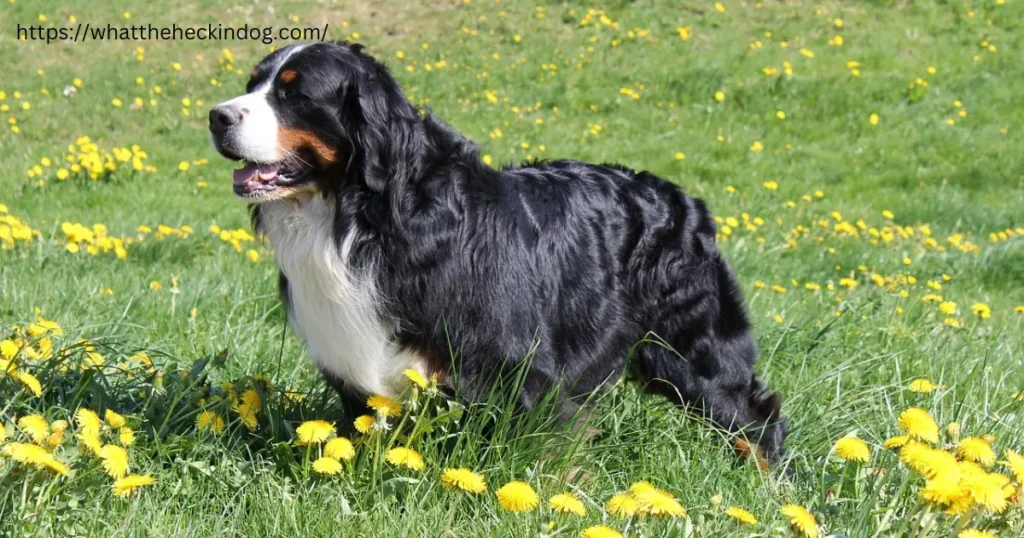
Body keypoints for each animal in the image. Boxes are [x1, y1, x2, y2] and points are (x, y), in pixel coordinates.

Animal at [205, 42, 782, 461]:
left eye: (293, 94)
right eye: (252, 84)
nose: (216, 116)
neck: (364, 219)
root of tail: (683, 197)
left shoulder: (518, 369)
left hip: (694, 351)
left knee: (756, 417)